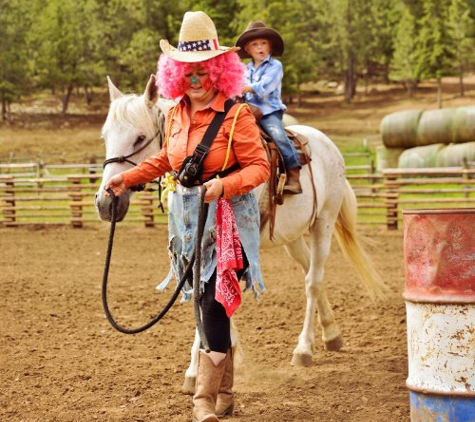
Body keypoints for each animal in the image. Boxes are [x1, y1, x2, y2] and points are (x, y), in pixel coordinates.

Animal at [96, 75, 386, 392]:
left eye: (138, 138)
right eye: (105, 136)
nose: (105, 202)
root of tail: (329, 146)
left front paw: (197, 369)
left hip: (323, 224)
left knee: (313, 281)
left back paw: (304, 349)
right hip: (293, 237)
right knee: (311, 273)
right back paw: (332, 335)